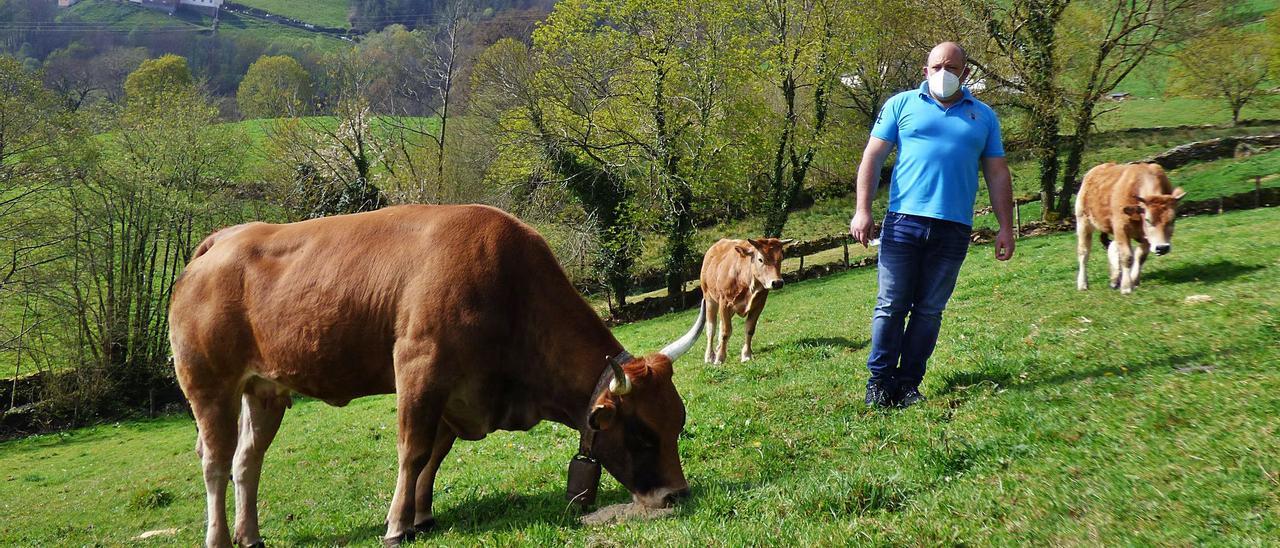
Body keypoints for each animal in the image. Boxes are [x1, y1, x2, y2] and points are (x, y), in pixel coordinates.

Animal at [166, 204, 706, 548]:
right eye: (641, 434)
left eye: (677, 423)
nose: (676, 494)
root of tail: (222, 239)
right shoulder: (419, 369)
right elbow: (413, 451)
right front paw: (395, 526)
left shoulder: (454, 393)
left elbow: (434, 456)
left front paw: (421, 516)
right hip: (208, 386)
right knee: (215, 461)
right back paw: (219, 537)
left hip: (265, 391)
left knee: (246, 461)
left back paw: (251, 535)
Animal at [1075, 160, 1182, 293]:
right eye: (1148, 220)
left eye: (1173, 220)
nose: (1162, 248)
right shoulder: (1121, 229)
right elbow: (1127, 257)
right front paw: (1126, 287)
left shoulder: (1145, 237)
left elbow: (1140, 256)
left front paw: (1133, 280)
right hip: (1083, 222)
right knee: (1083, 253)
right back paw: (1083, 283)